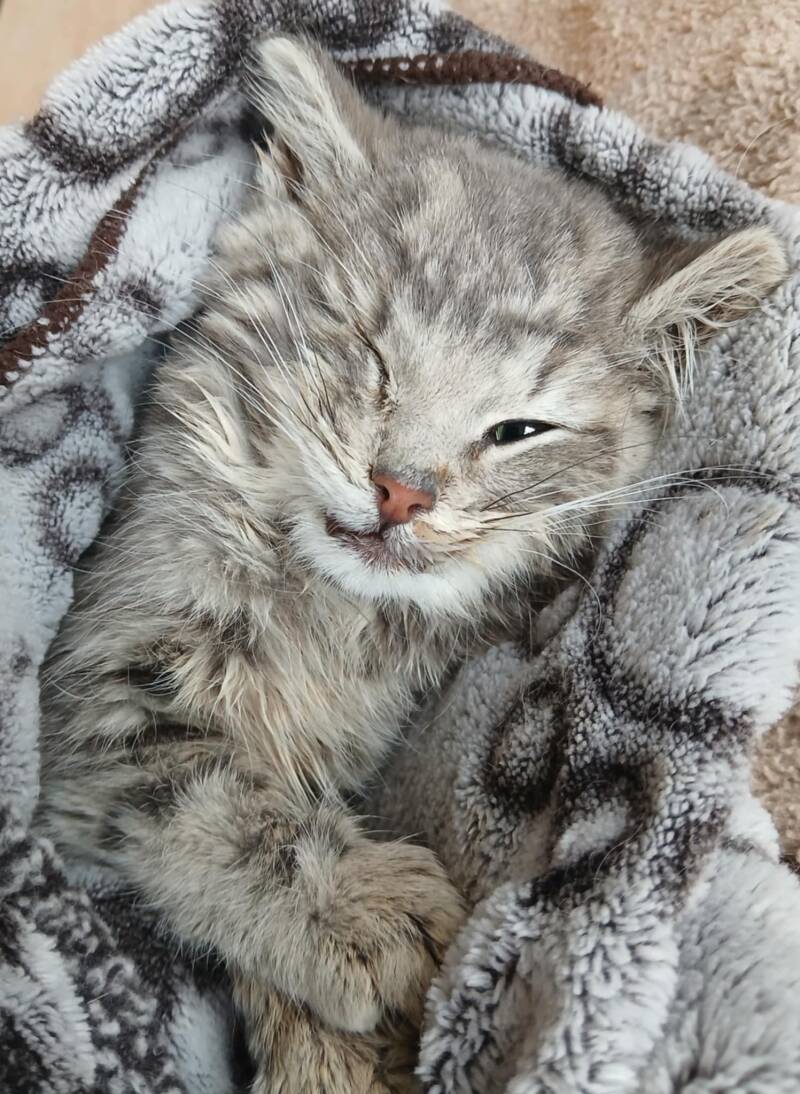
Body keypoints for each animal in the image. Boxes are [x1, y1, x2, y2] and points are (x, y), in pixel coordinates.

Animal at [37, 34, 787, 1094]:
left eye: (518, 431)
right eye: (368, 352)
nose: (401, 491)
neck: (333, 608)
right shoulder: (97, 674)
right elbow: (207, 796)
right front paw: (356, 910)